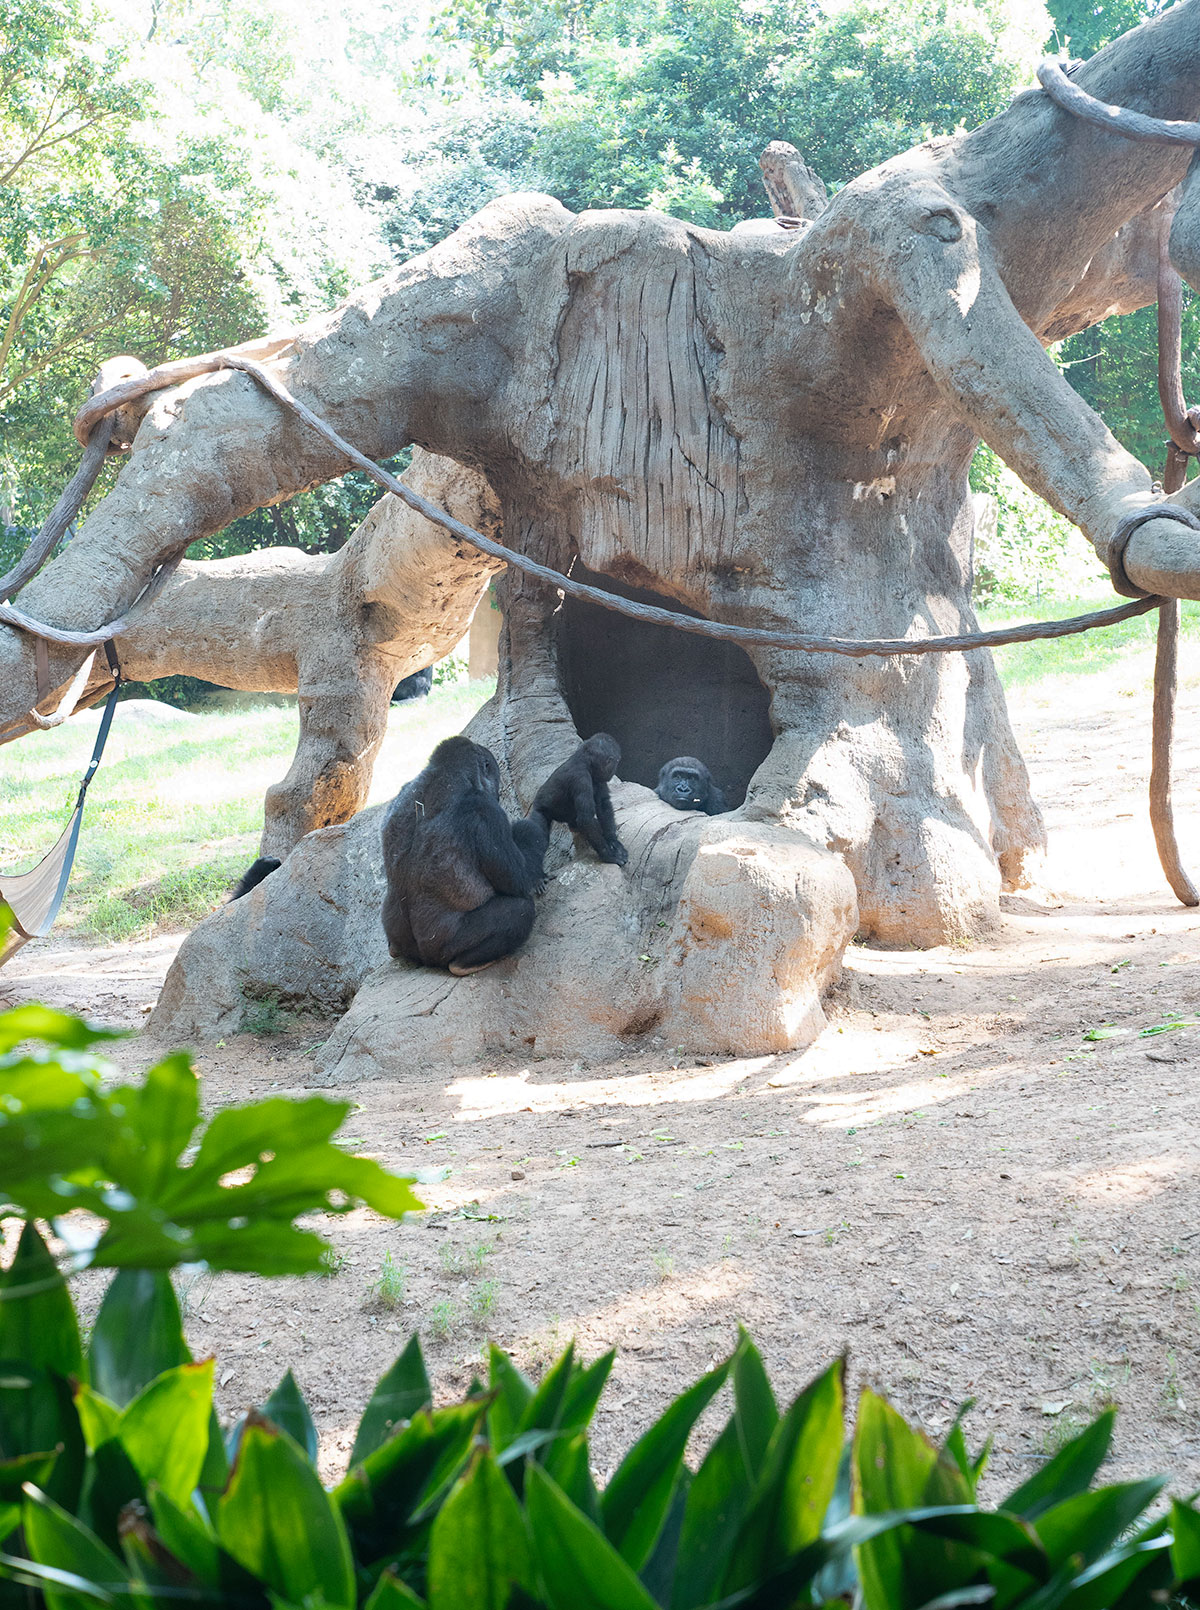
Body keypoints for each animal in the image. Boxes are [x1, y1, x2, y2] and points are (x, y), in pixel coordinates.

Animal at [378, 737, 547, 972]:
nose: (497, 793)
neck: (444, 772)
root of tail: (424, 959)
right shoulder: (485, 810)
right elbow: (519, 881)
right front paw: (527, 831)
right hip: (442, 949)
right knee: (519, 910)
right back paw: (466, 964)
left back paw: (395, 949)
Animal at [531, 737, 631, 869]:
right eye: (617, 761)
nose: (614, 770)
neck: (585, 761)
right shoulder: (580, 779)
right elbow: (586, 819)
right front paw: (609, 856)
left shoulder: (597, 777)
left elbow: (603, 804)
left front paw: (613, 842)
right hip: (539, 811)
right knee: (538, 840)